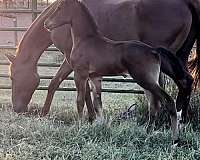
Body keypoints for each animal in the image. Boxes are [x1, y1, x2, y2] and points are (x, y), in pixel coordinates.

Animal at [5, 0, 200, 122]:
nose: (17, 108)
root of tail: (187, 3)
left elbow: (58, 84)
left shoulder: (70, 60)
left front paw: (46, 113)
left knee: (172, 86)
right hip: (178, 56)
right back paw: (181, 119)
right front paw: (92, 117)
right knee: (185, 81)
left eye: (14, 78)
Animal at [43, 0, 184, 144]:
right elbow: (97, 104)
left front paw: (79, 126)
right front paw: (100, 126)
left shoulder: (80, 74)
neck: (86, 40)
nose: (46, 24)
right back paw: (147, 134)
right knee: (153, 106)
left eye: (60, 7)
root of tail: (154, 50)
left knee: (168, 101)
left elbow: (80, 101)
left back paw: (175, 140)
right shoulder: (95, 77)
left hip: (146, 80)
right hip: (148, 83)